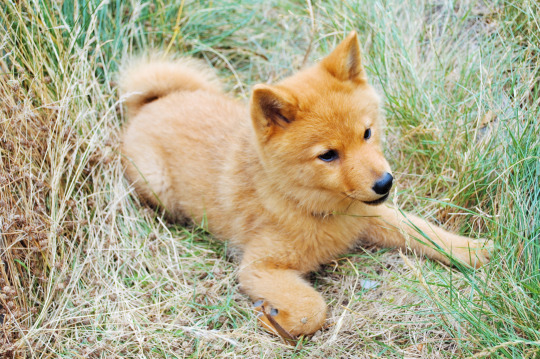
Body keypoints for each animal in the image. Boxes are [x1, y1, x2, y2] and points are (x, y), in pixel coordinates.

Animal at [120, 32, 492, 338]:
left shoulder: (371, 216)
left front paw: (471, 249)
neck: (312, 207)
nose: (385, 183)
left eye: (367, 133)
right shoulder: (258, 266)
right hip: (157, 186)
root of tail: (154, 102)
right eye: (327, 155)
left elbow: (420, 229)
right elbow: (313, 309)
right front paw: (273, 319)